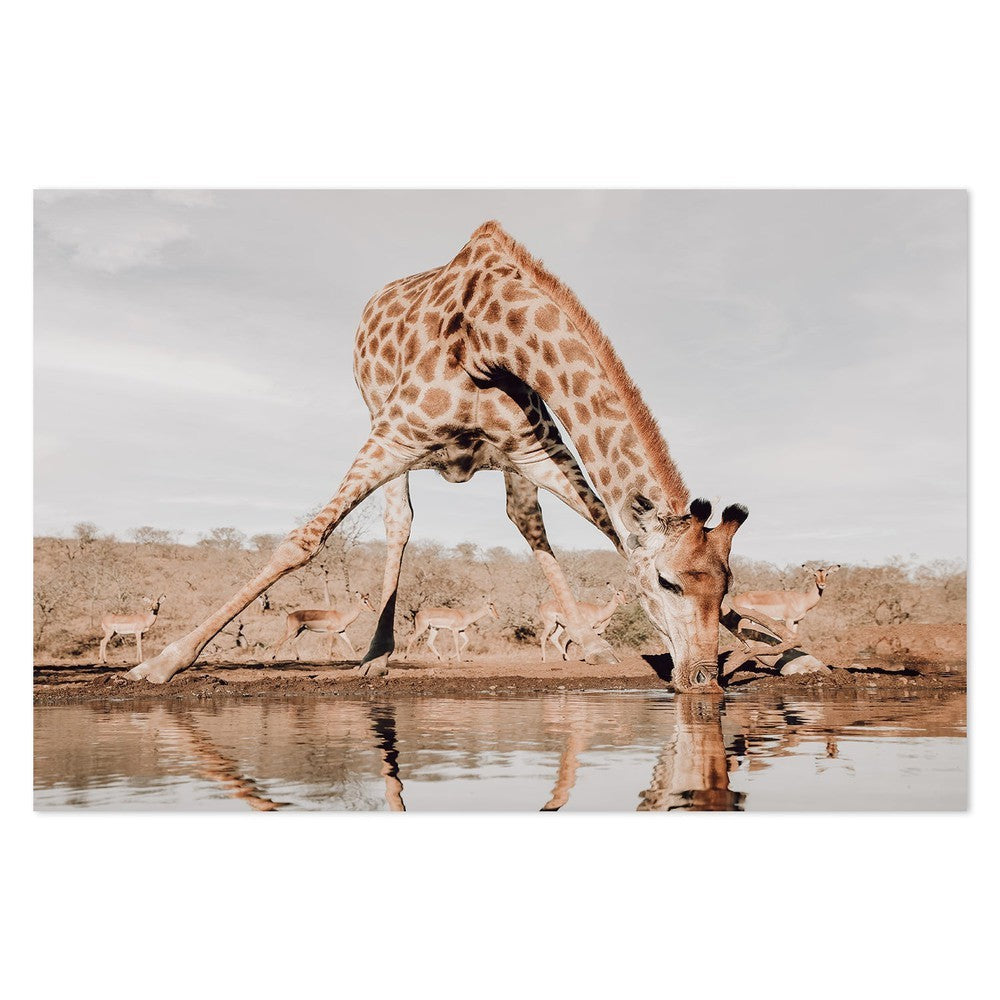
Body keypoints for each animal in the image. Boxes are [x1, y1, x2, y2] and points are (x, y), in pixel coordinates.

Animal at [126, 220, 747, 691]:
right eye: (668, 583)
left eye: (725, 587)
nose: (701, 679)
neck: (493, 339)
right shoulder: (396, 434)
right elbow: (304, 541)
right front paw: (162, 662)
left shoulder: (536, 449)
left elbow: (607, 526)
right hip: (381, 424)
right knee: (399, 523)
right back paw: (375, 654)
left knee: (527, 523)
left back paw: (587, 643)